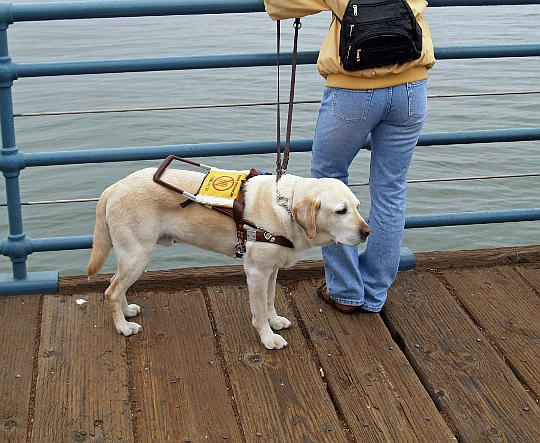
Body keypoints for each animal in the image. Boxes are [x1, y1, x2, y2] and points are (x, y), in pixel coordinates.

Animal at [86, 169, 370, 350]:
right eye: (341, 211)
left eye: (357, 207)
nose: (367, 232)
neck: (285, 208)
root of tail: (114, 187)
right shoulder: (256, 272)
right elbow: (258, 310)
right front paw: (268, 338)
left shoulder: (272, 270)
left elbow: (269, 300)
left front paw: (275, 322)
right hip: (139, 253)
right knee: (111, 291)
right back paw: (123, 327)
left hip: (131, 254)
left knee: (115, 284)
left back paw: (126, 312)